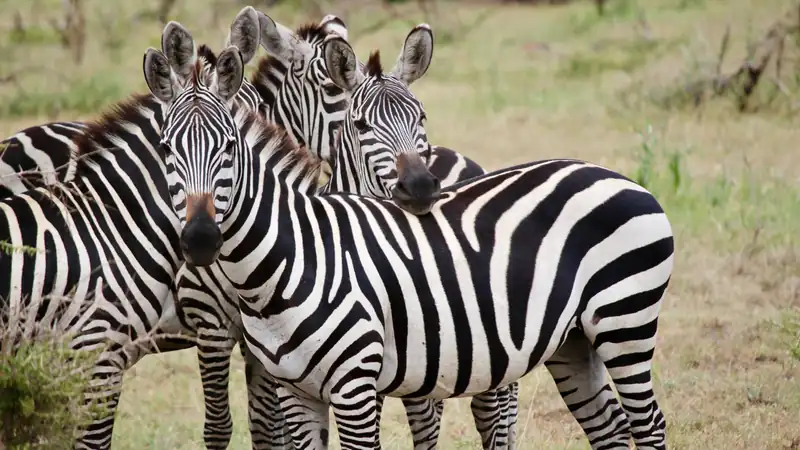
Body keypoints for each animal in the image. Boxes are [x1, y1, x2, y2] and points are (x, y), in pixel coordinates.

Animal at [0, 13, 291, 450]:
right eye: (167, 148)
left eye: (233, 142)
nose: (201, 240)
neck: (109, 225)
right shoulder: (107, 351)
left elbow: (269, 425)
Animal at [145, 36, 675, 450]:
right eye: (166, 149)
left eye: (229, 148)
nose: (199, 239)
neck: (279, 270)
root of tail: (612, 174)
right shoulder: (296, 392)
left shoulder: (356, 386)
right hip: (573, 340)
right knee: (609, 428)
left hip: (625, 321)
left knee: (647, 424)